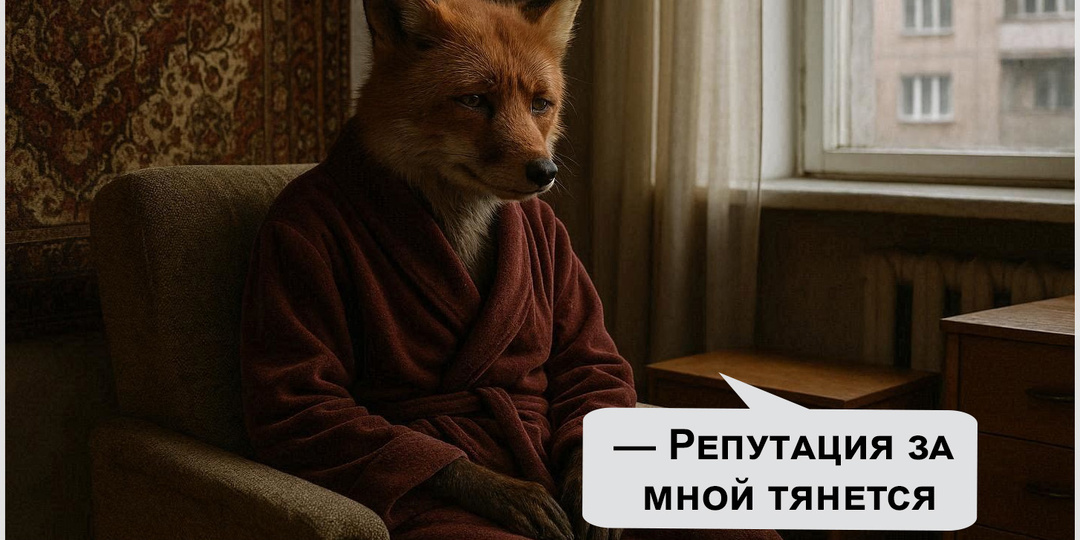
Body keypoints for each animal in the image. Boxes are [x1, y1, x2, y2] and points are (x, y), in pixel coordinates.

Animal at [353, 0, 608, 539]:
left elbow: (591, 362)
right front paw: (511, 495)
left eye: (540, 105)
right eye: (473, 100)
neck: (460, 227)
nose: (545, 171)